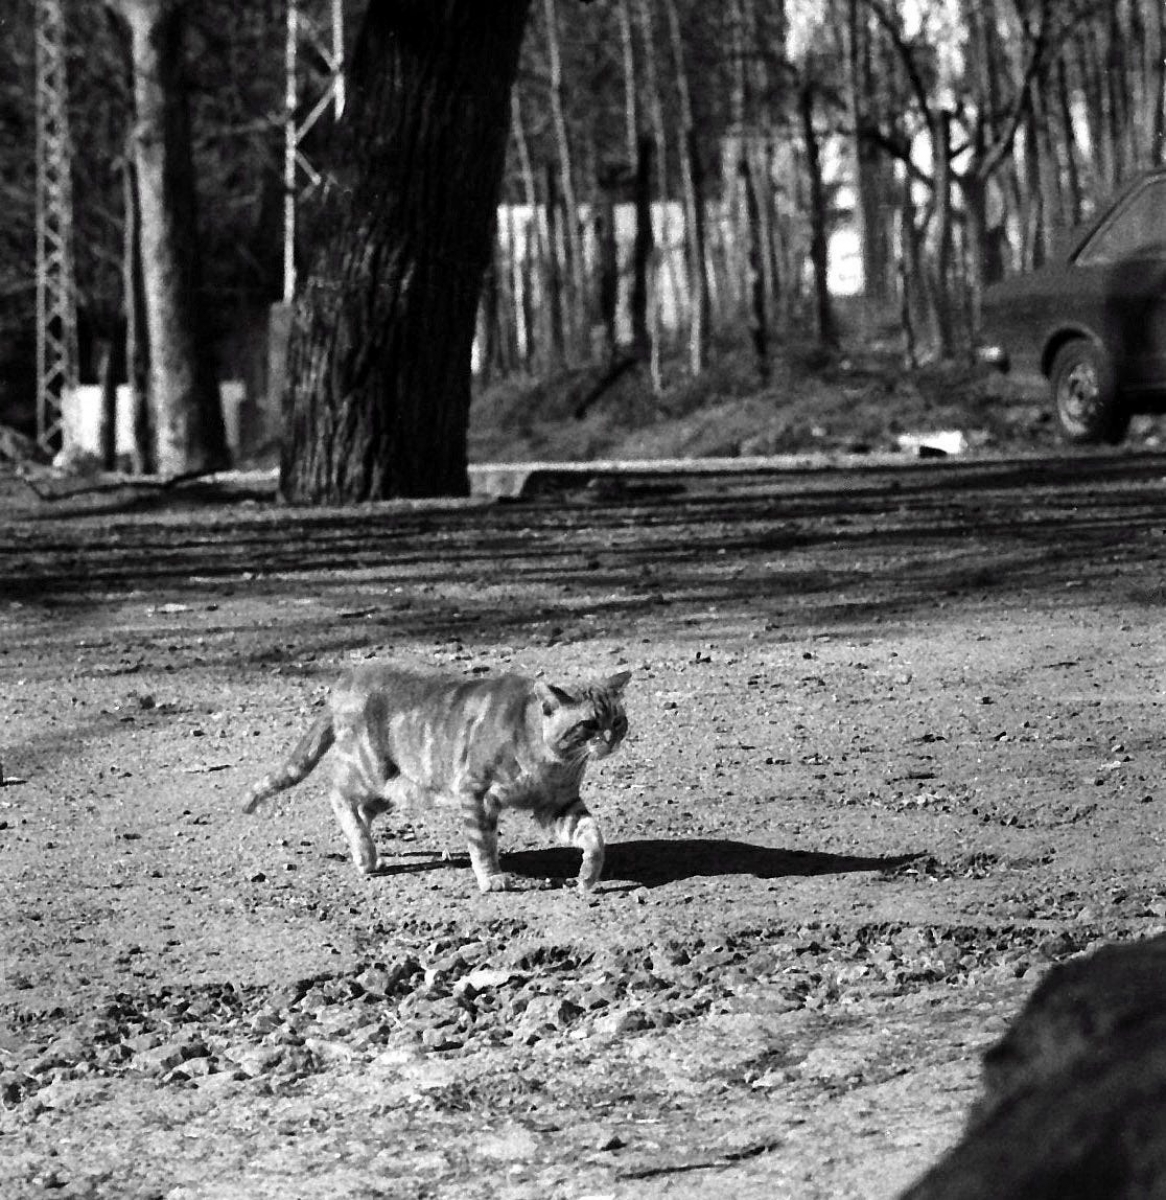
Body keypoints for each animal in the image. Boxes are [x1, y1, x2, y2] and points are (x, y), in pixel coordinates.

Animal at [241, 667, 633, 892]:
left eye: (617, 720)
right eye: (589, 724)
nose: (610, 739)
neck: (554, 762)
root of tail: (347, 680)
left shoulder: (558, 805)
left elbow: (593, 836)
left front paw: (588, 875)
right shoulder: (476, 793)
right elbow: (482, 844)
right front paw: (491, 878)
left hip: (394, 790)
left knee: (360, 812)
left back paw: (366, 851)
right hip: (370, 772)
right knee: (337, 793)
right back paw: (364, 854)